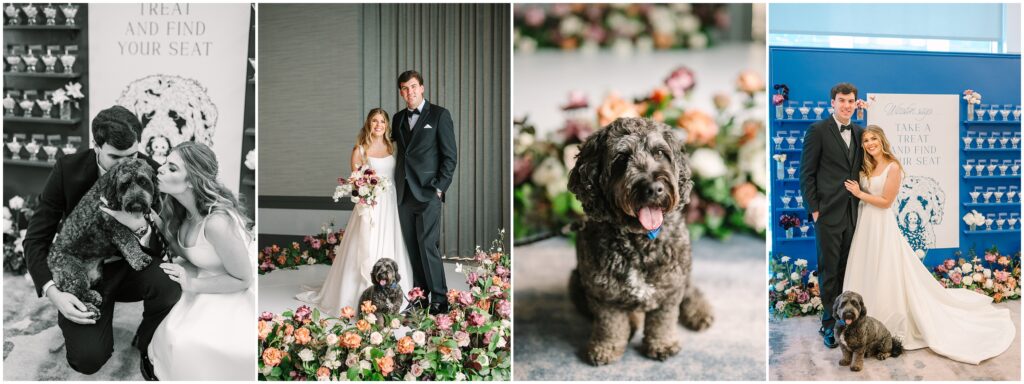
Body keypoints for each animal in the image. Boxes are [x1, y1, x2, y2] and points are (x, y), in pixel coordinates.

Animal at [47, 157, 159, 319]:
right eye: (124, 184)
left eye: (143, 181)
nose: (136, 204)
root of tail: (50, 260)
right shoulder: (115, 225)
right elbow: (129, 242)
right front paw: (140, 259)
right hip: (73, 273)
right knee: (75, 297)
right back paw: (90, 310)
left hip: (92, 276)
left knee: (81, 292)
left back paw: (93, 297)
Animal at [569, 118, 712, 366]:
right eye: (621, 158)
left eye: (660, 153)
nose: (654, 188)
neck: (639, 240)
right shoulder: (602, 294)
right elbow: (609, 325)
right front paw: (606, 348)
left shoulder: (670, 287)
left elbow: (663, 321)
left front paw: (662, 344)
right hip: (576, 283)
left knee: (690, 289)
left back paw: (699, 312)